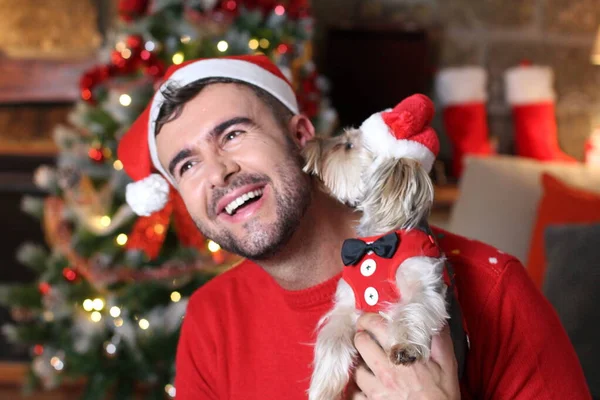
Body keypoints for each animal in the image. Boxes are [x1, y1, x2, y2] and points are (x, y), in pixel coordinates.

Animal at [304, 94, 450, 400]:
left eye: (348, 145)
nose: (308, 144)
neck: (375, 244)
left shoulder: (425, 284)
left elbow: (412, 307)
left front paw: (405, 347)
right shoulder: (347, 306)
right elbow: (332, 340)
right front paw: (323, 389)